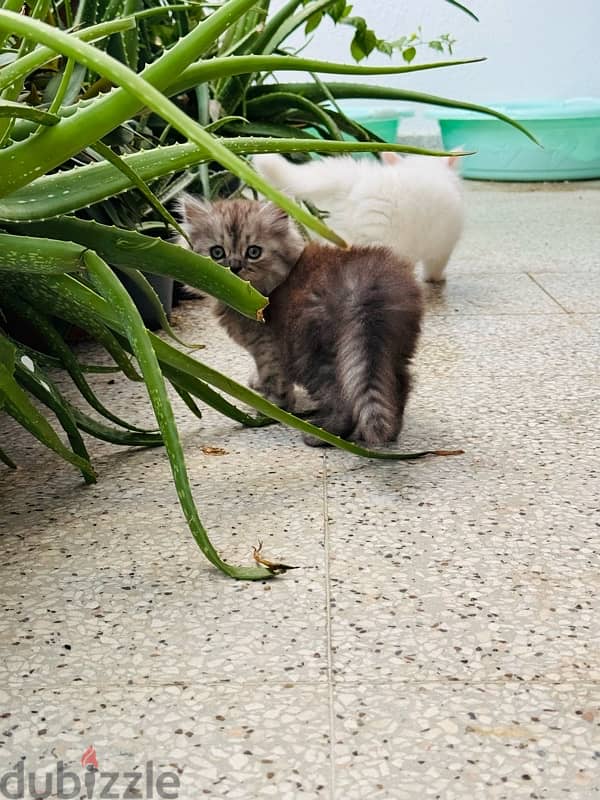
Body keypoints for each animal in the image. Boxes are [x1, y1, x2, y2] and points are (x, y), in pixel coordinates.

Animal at [177, 194, 422, 444]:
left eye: (253, 252)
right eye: (217, 253)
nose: (234, 267)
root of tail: (365, 285)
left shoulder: (269, 347)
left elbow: (273, 379)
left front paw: (271, 408)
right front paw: (258, 385)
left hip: (310, 352)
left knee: (342, 398)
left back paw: (323, 434)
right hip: (391, 347)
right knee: (398, 386)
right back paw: (390, 432)